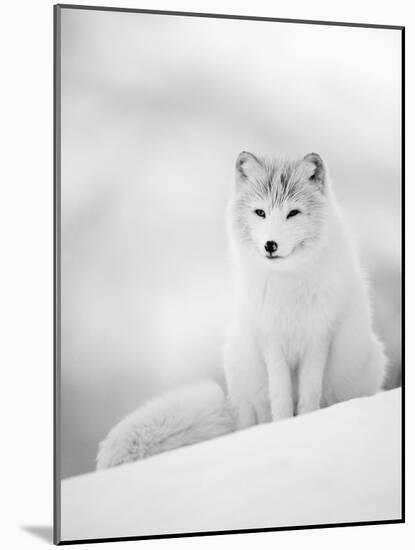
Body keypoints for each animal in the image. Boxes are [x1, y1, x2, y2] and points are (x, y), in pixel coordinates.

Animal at [96, 153, 388, 472]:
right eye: (260, 212)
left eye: (293, 213)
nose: (270, 245)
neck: (287, 284)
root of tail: (230, 405)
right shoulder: (270, 339)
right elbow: (281, 396)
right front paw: (283, 428)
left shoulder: (318, 336)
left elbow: (309, 394)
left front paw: (305, 422)